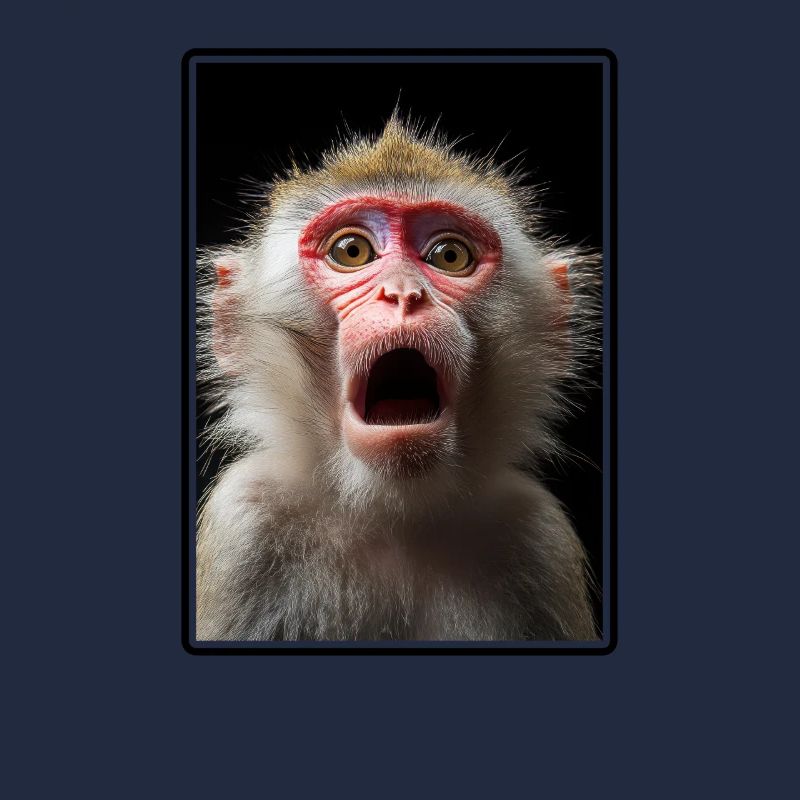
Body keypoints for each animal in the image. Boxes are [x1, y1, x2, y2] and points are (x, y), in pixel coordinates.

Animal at [195, 113, 600, 642]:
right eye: (351, 251)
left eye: (449, 256)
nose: (404, 293)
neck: (392, 512)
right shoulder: (244, 523)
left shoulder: (538, 538)